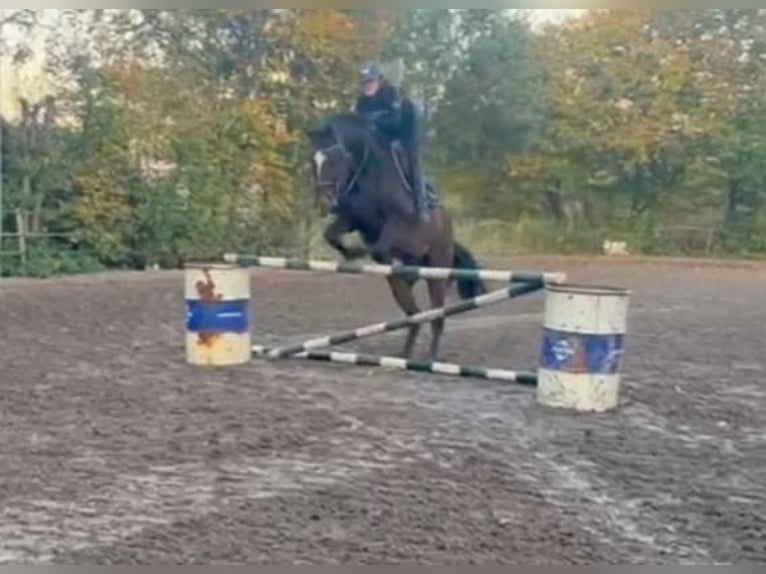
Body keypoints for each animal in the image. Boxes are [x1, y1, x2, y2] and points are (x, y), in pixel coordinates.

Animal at [304, 113, 486, 362]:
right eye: (313, 162)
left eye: (336, 159)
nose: (323, 204)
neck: (367, 174)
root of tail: (448, 227)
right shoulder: (351, 219)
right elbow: (331, 235)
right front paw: (351, 252)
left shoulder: (400, 227)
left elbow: (379, 245)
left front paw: (359, 251)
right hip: (406, 275)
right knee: (414, 312)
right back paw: (404, 354)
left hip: (437, 267)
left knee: (435, 315)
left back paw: (430, 358)